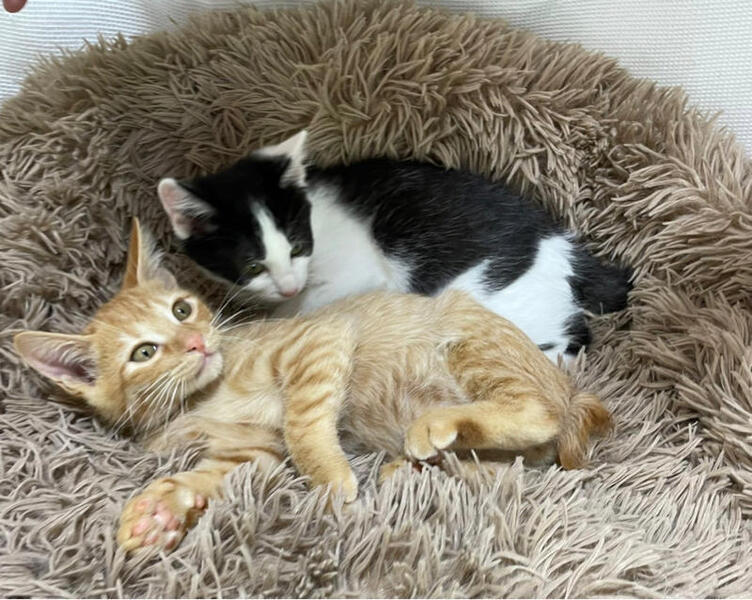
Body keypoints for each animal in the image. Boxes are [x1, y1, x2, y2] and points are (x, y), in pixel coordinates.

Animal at [14, 219, 611, 553]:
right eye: (143, 353)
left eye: (181, 309)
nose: (197, 343)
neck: (205, 396)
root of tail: (574, 394)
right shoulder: (246, 453)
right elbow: (206, 476)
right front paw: (158, 512)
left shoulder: (319, 340)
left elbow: (302, 421)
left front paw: (329, 478)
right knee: (497, 472)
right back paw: (413, 466)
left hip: (471, 339)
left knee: (537, 412)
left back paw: (435, 427)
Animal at [156, 130, 631, 363]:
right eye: (252, 266)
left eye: (297, 246)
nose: (289, 286)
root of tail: (563, 245)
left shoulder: (363, 274)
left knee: (568, 338)